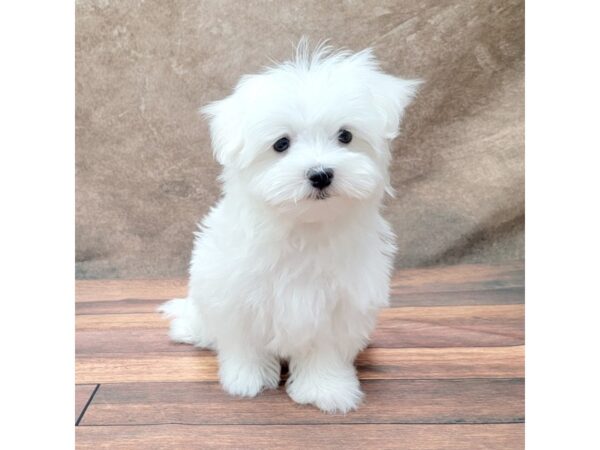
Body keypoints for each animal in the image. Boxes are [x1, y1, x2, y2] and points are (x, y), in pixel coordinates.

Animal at [162, 40, 420, 414]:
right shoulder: (236, 293)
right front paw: (247, 379)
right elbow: (245, 342)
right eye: (281, 144)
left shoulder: (339, 304)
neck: (305, 226)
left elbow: (326, 350)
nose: (321, 174)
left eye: (345, 135)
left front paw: (327, 389)